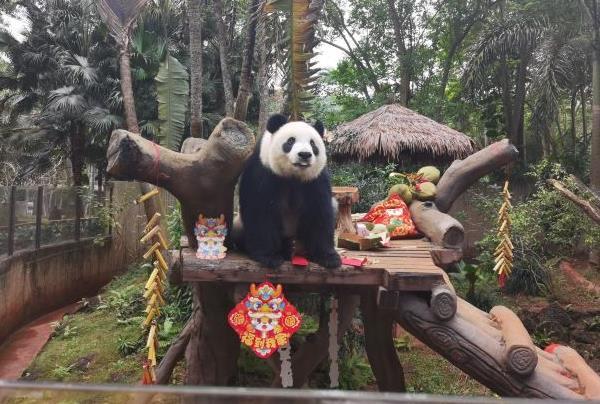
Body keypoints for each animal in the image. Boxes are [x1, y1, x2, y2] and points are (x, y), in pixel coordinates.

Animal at [239, 113, 342, 270]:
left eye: (313, 144)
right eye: (291, 141)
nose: (304, 154)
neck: (294, 176)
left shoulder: (315, 179)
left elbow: (320, 213)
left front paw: (329, 258)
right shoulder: (264, 173)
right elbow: (261, 213)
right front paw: (270, 257)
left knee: (334, 205)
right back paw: (286, 248)